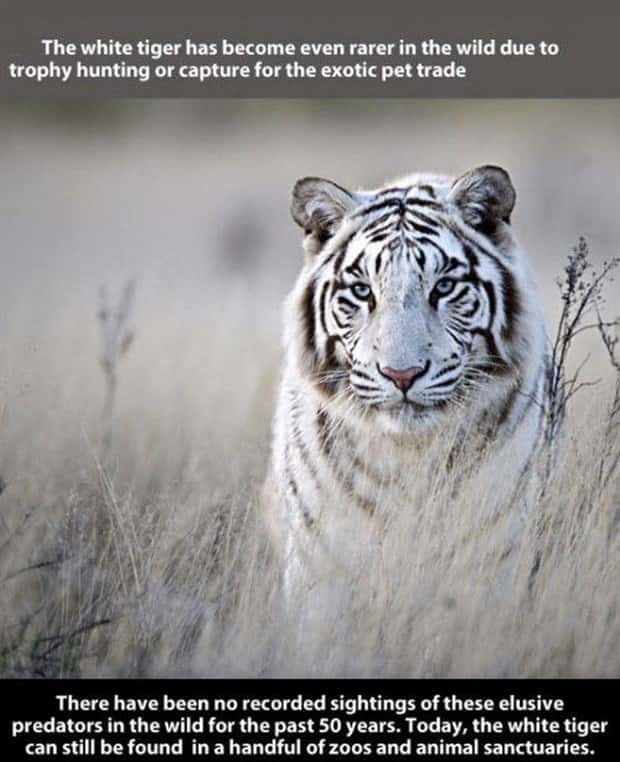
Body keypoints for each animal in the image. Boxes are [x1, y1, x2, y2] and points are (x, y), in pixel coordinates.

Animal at [262, 165, 548, 629]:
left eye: (444, 287)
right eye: (363, 291)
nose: (402, 374)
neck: (410, 455)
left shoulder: (493, 557)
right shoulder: (322, 565)